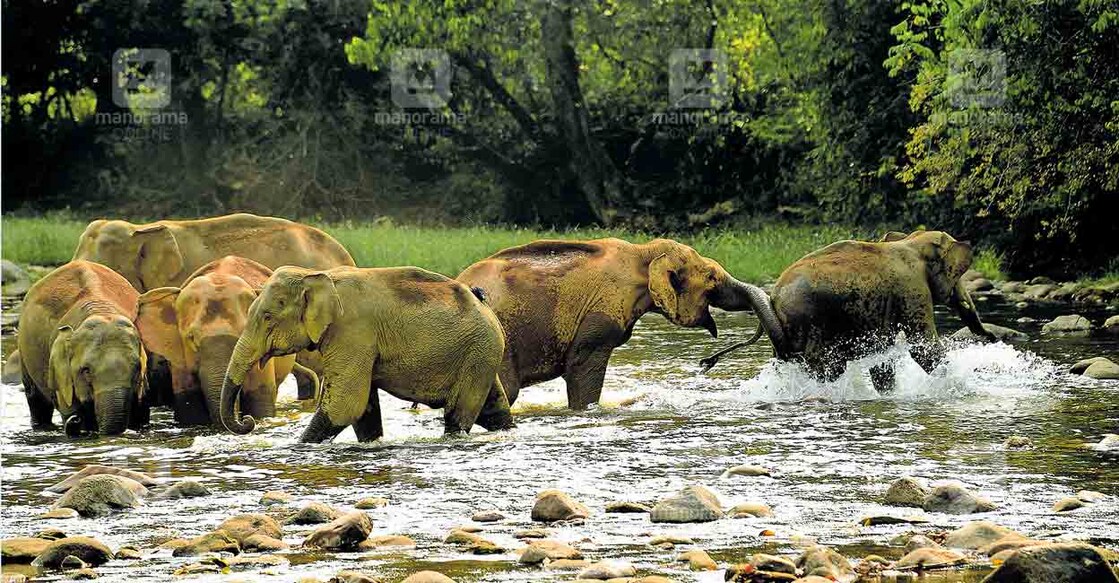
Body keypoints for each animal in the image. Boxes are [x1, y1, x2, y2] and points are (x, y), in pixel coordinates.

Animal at [15, 261, 148, 434]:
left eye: (137, 368)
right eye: (86, 370)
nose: (75, 419)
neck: (101, 311)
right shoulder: (60, 372)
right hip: (24, 352)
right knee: (36, 400)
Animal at [698, 229, 998, 389]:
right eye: (956, 275)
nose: (993, 338)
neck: (910, 242)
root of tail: (772, 298)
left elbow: (883, 356)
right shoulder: (912, 288)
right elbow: (923, 347)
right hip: (811, 324)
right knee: (827, 367)